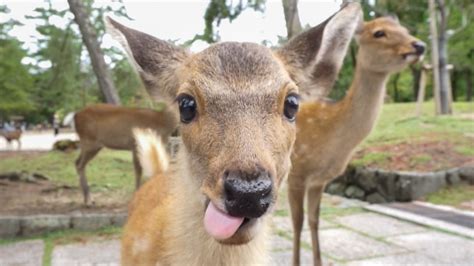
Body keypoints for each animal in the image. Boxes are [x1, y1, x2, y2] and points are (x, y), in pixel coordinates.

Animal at [286, 17, 428, 266]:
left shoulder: (318, 180)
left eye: (405, 29)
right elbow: (297, 222)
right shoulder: (297, 173)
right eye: (379, 33)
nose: (419, 45)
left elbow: (314, 219)